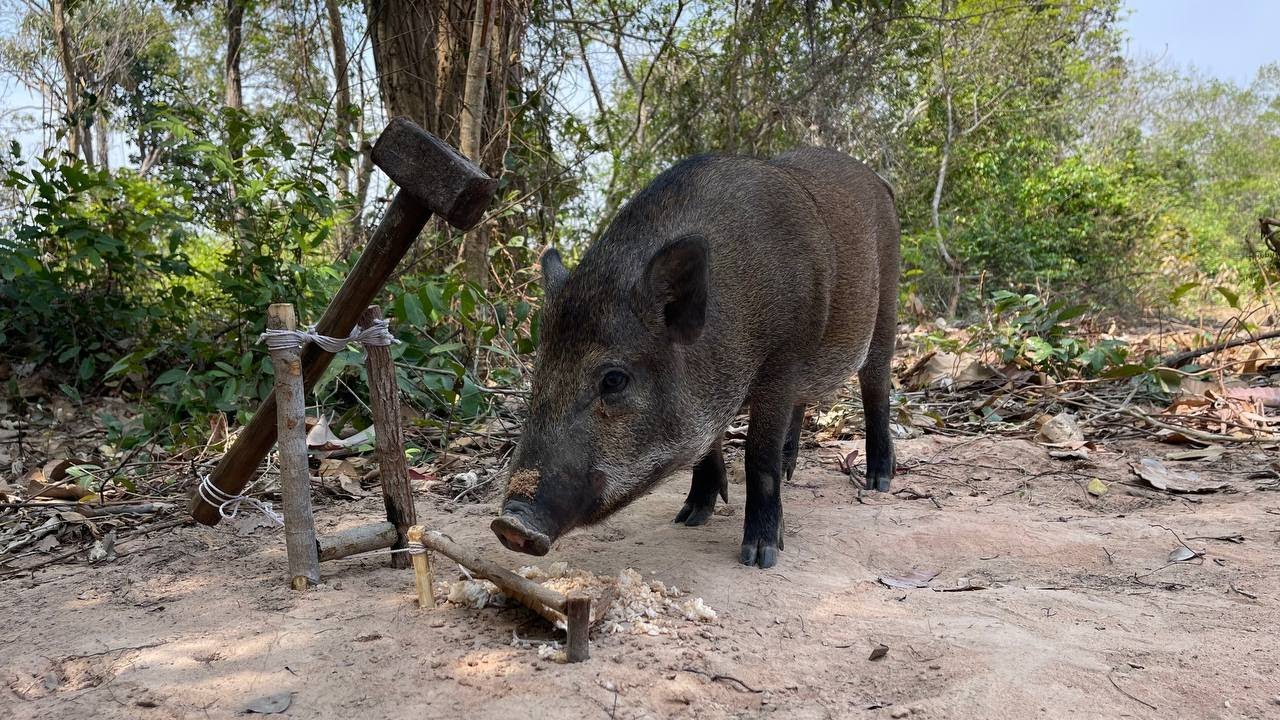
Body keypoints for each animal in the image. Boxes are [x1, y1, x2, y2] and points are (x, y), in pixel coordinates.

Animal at [491, 147, 899, 569]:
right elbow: (709, 444)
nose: (510, 525)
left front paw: (759, 558)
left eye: (614, 379)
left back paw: (879, 481)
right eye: (539, 372)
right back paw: (792, 472)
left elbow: (758, 453)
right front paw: (689, 518)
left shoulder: (783, 359)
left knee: (876, 386)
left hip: (887, 301)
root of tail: (878, 181)